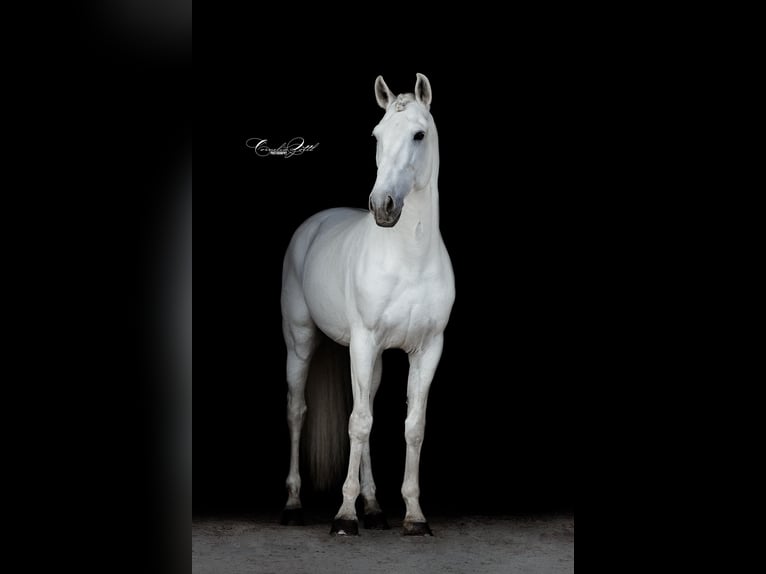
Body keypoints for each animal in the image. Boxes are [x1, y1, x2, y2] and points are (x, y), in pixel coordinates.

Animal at [280, 74, 452, 536]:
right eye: (376, 136)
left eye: (418, 134)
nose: (382, 206)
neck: (409, 259)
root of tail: (313, 224)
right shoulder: (363, 341)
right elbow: (357, 424)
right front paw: (343, 516)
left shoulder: (428, 349)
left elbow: (413, 427)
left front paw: (414, 515)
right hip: (301, 344)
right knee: (298, 413)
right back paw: (294, 504)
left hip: (371, 361)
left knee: (368, 410)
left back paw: (373, 507)